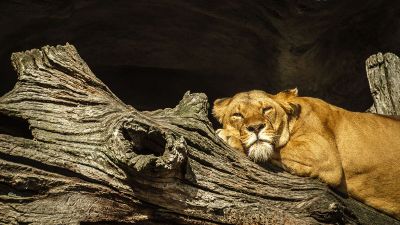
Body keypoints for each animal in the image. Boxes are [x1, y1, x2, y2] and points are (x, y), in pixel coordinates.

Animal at [214, 89, 400, 219]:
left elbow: (279, 148)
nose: (255, 127)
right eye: (237, 115)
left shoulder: (322, 153)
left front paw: (228, 136)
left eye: (266, 109)